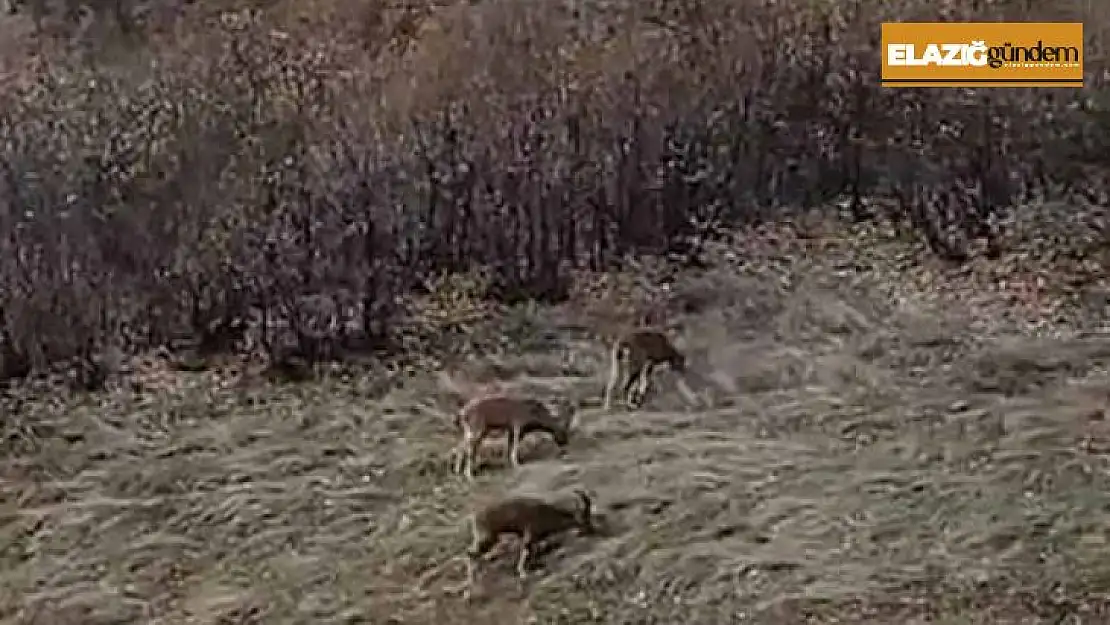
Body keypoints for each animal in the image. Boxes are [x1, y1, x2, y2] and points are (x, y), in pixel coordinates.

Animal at [466, 488, 594, 586]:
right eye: (585, 520)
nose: (591, 530)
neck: (548, 514)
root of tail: (475, 517)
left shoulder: (534, 539)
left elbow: (532, 552)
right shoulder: (529, 535)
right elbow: (526, 552)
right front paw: (523, 574)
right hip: (488, 537)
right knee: (470, 554)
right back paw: (471, 581)